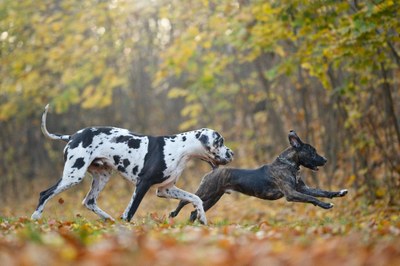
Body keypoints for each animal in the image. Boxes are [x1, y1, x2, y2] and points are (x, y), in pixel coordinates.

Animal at [32, 104, 234, 224]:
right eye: (220, 141)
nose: (232, 153)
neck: (180, 148)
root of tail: (73, 135)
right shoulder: (143, 184)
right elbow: (130, 212)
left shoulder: (165, 189)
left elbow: (195, 198)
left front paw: (202, 218)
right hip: (73, 175)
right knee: (44, 194)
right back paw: (35, 219)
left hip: (102, 176)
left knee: (89, 201)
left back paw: (108, 219)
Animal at [170, 130, 348, 221]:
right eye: (312, 151)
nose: (325, 160)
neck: (289, 165)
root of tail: (214, 170)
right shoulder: (292, 194)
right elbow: (312, 198)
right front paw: (326, 205)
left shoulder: (303, 188)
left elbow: (321, 192)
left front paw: (339, 193)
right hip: (206, 192)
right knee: (184, 200)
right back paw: (174, 214)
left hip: (213, 198)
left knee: (194, 212)